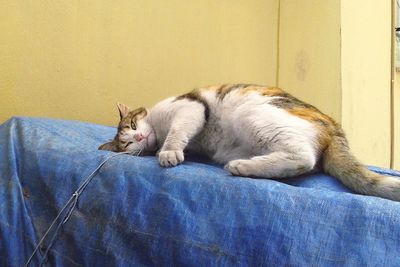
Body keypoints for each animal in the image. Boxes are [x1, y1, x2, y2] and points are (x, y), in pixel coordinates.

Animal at [99, 85, 400, 202]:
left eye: (133, 126)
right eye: (126, 145)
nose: (139, 138)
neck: (157, 133)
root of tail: (335, 126)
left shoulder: (190, 108)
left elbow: (177, 132)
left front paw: (169, 152)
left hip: (252, 114)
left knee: (304, 157)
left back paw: (241, 167)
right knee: (304, 162)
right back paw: (244, 166)